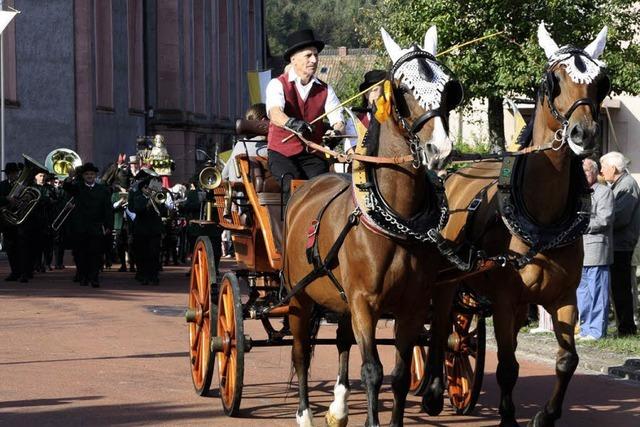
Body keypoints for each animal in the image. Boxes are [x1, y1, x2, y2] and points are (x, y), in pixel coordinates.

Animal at [284, 27, 460, 427]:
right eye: (405, 89)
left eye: (448, 87)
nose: (439, 150)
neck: (398, 222)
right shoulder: (364, 302)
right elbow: (372, 371)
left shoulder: (411, 306)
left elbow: (398, 376)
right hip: (299, 298)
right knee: (301, 354)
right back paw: (304, 414)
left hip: (338, 298)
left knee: (341, 341)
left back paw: (337, 408)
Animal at [422, 24, 612, 427]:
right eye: (555, 80)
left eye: (600, 82)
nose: (584, 134)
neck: (540, 219)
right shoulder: (506, 301)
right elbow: (508, 366)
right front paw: (509, 417)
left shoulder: (563, 297)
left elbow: (567, 360)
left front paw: (547, 415)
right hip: (447, 283)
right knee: (440, 330)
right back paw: (431, 390)